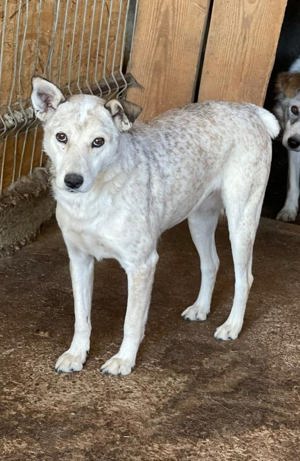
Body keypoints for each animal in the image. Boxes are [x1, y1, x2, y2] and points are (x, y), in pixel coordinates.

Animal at [30, 78, 278, 374]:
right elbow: (81, 316)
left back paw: (232, 326)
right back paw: (200, 308)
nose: (72, 181)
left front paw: (124, 360)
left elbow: (132, 321)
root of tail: (250, 110)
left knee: (244, 277)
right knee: (212, 263)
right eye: (61, 137)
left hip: (241, 221)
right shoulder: (79, 260)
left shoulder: (142, 265)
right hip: (199, 219)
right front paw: (76, 354)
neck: (92, 201)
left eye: (98, 142)